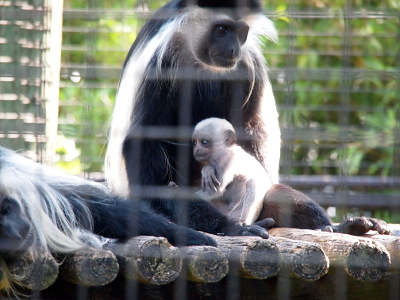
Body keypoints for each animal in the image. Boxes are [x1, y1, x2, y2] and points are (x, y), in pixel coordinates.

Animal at [104, 0, 278, 238]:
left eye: (241, 32)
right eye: (221, 30)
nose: (234, 49)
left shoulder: (248, 64)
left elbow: (253, 130)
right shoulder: (159, 61)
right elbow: (146, 138)